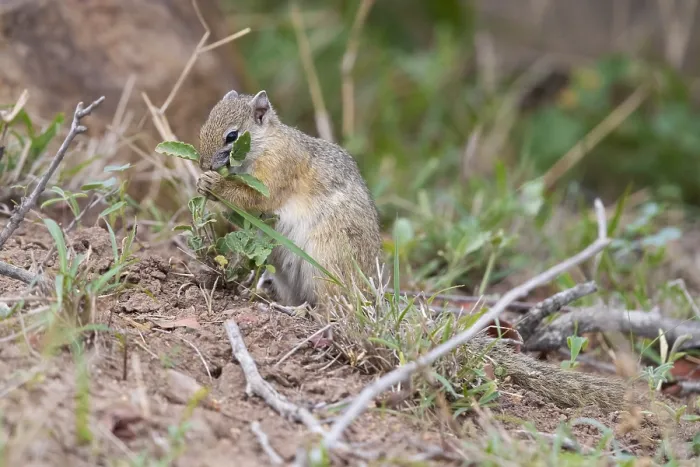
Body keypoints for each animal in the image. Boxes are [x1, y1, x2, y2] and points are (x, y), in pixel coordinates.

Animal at [196, 89, 383, 308]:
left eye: (232, 136)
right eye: (205, 124)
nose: (204, 165)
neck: (267, 143)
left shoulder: (276, 170)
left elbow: (254, 198)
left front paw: (215, 184)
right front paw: (202, 183)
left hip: (327, 263)